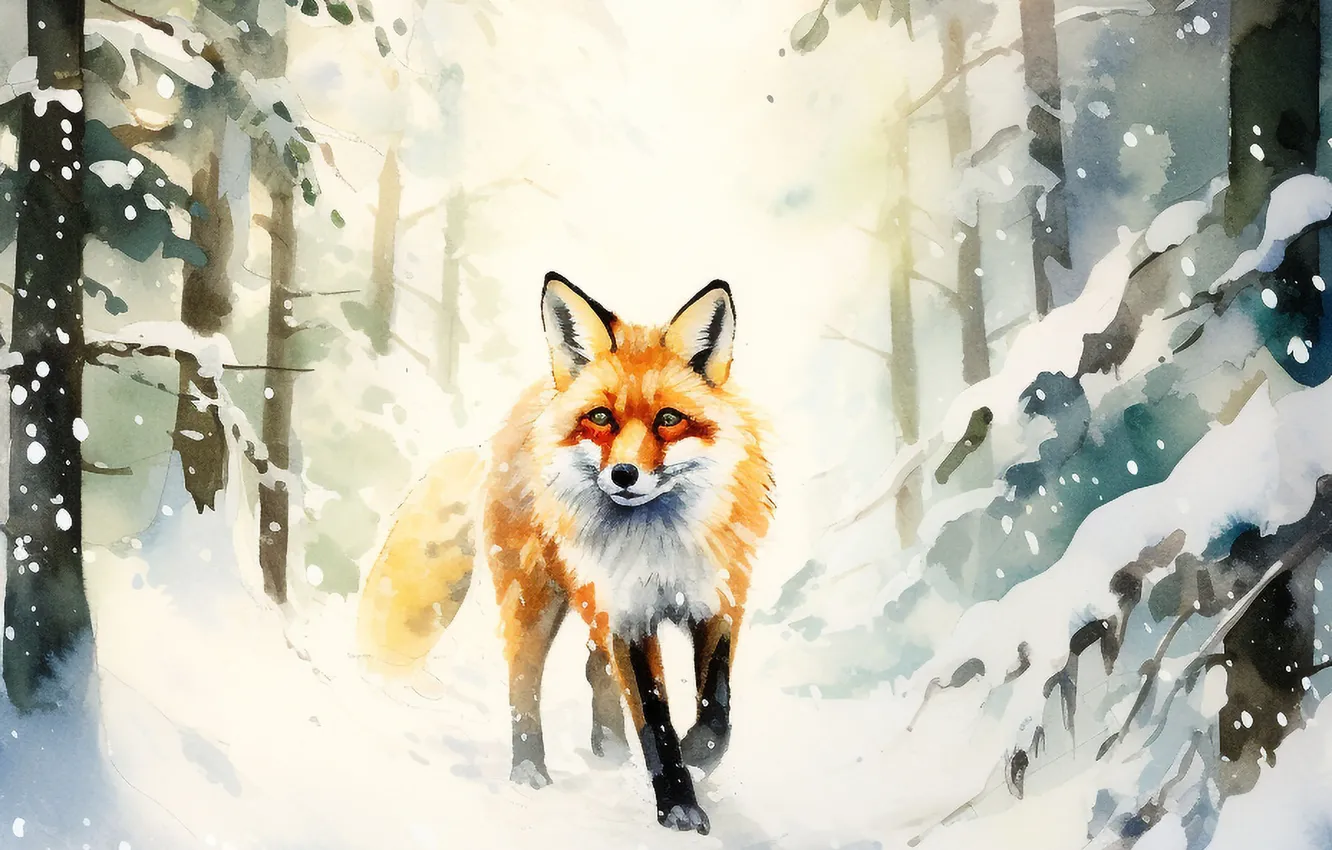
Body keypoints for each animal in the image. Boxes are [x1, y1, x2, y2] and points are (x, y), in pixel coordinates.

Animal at [356, 273, 774, 834]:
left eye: (668, 419)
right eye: (601, 417)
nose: (624, 474)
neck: (660, 548)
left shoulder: (720, 600)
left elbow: (716, 713)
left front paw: (695, 757)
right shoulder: (629, 614)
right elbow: (656, 720)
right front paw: (678, 803)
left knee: (596, 670)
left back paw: (610, 748)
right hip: (533, 601)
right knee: (522, 685)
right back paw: (529, 770)